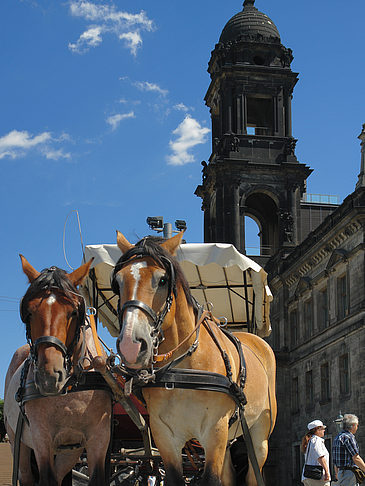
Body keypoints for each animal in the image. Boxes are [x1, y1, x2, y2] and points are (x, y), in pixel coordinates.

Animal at [3, 256, 111, 484]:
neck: (71, 388)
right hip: (17, 440)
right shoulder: (41, 439)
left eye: (73, 312)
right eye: (29, 312)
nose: (49, 376)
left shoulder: (99, 438)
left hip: (68, 451)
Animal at [111, 232, 276, 486]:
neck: (182, 370)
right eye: (118, 283)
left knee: (252, 474)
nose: (131, 344)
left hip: (259, 436)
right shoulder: (164, 435)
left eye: (162, 280)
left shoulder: (215, 430)